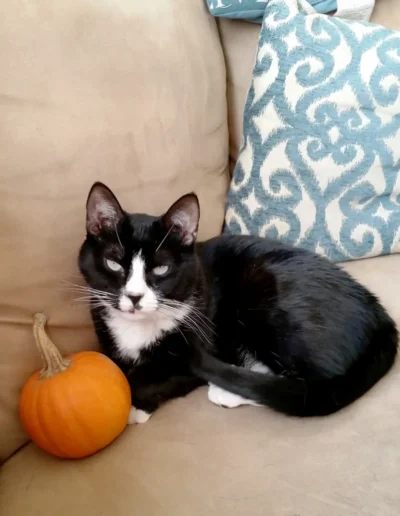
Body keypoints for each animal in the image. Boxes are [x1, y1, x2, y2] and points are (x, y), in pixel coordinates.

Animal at [78, 183, 396, 422]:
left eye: (161, 269)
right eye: (113, 263)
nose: (134, 297)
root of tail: (381, 316)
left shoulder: (198, 337)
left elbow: (155, 372)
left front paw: (134, 406)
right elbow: (113, 364)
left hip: (269, 297)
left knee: (315, 391)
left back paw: (226, 391)